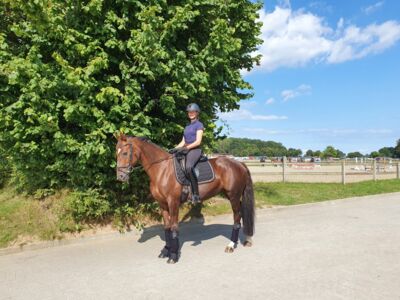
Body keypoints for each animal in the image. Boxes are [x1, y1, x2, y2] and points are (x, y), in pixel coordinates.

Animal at [115, 135, 255, 264]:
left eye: (125, 153)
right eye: (116, 152)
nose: (120, 177)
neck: (162, 170)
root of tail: (239, 163)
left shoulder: (173, 203)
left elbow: (174, 227)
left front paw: (173, 255)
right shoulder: (162, 204)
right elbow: (167, 227)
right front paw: (166, 250)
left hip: (234, 196)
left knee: (237, 217)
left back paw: (231, 245)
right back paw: (247, 239)